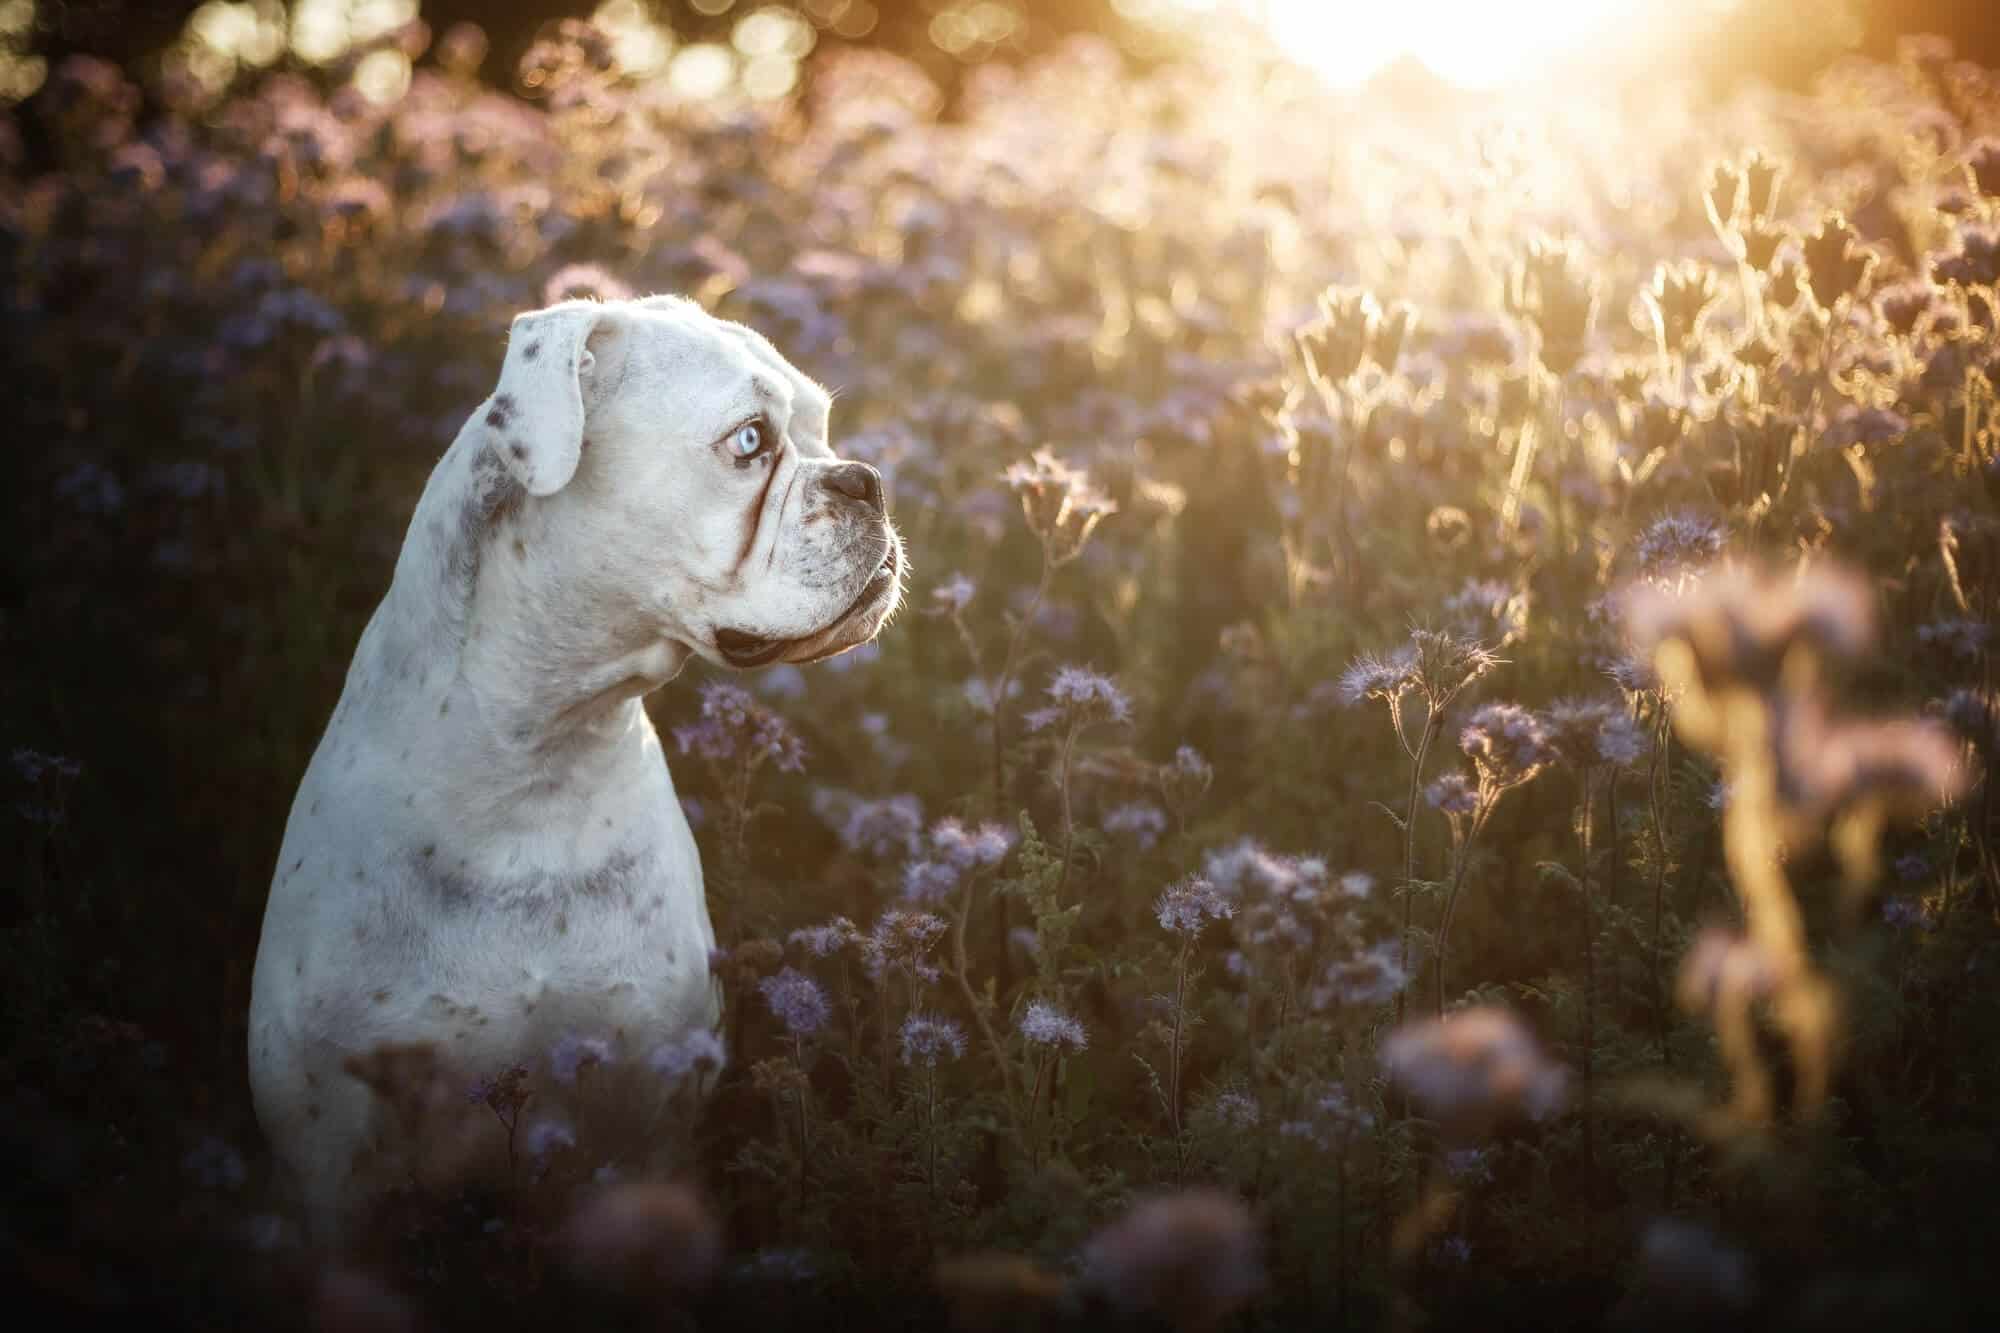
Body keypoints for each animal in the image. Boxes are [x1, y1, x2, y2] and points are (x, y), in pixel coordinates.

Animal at [248, 290, 900, 1232]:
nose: (865, 479)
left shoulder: (646, 1123)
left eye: (822, 424)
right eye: (749, 442)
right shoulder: (331, 1166)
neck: (539, 759)